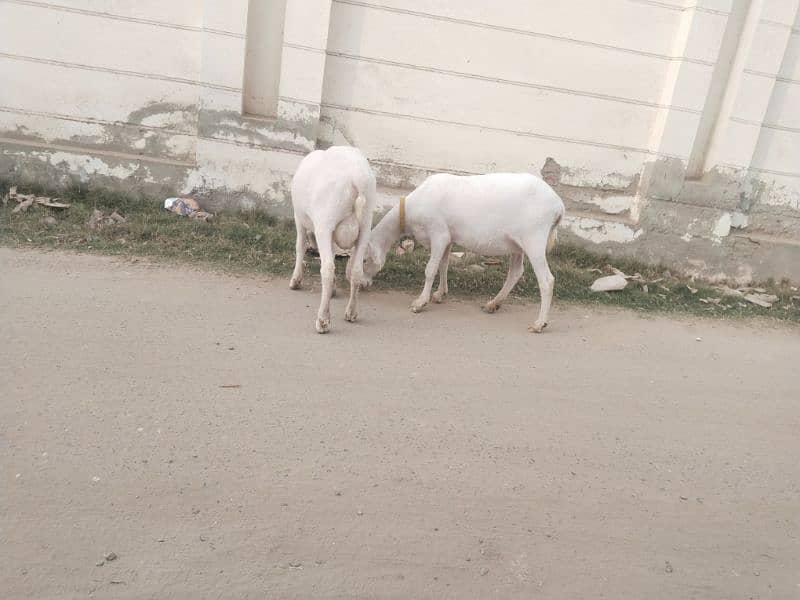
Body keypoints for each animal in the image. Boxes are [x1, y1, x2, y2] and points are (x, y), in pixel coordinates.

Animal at [290, 145, 376, 332]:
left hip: (325, 223)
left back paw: (323, 320)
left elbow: (300, 246)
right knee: (356, 271)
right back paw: (351, 312)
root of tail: (357, 177)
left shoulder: (299, 218)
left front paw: (295, 280)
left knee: (328, 269)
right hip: (365, 227)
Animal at [366, 173, 564, 332]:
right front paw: (440, 294)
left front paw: (420, 302)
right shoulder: (448, 239)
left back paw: (539, 324)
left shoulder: (439, 234)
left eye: (364, 259)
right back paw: (493, 304)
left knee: (547, 281)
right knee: (515, 272)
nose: (363, 284)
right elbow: (443, 265)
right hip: (516, 243)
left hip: (534, 239)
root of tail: (559, 207)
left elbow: (430, 270)